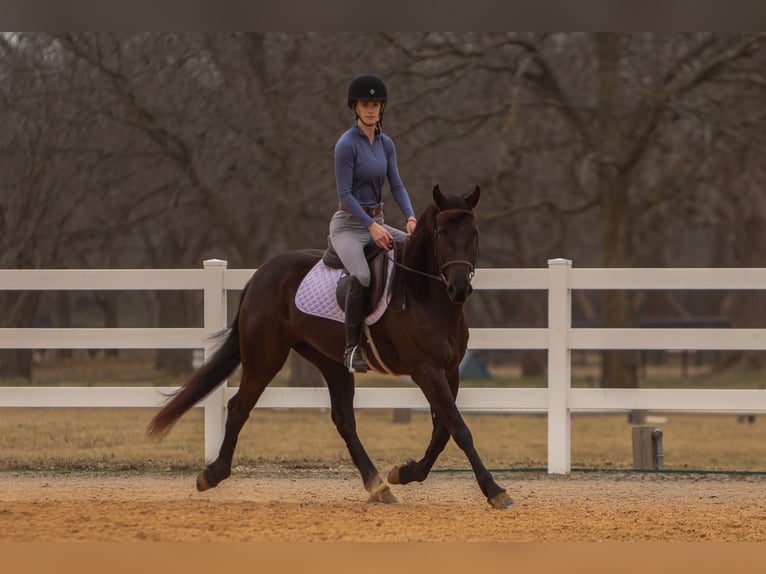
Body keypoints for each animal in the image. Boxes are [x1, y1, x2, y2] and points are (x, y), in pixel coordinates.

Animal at [147, 184, 512, 508]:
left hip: (331, 361)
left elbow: (443, 431)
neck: (425, 294)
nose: (459, 288)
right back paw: (212, 475)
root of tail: (262, 273)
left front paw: (405, 473)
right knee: (239, 407)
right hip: (265, 357)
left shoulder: (449, 371)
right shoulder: (426, 371)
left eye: (474, 232)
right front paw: (494, 490)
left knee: (344, 420)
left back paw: (378, 485)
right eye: (440, 232)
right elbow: (458, 428)